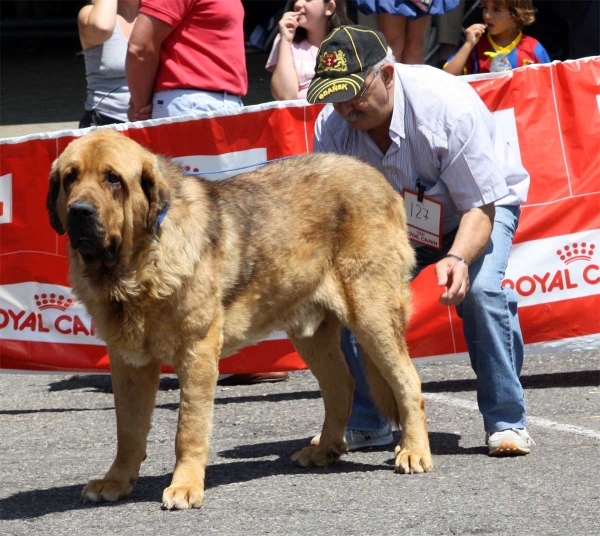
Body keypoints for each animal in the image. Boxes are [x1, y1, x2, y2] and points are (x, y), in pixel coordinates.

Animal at [45, 129, 432, 510]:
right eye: (70, 178)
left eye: (113, 179)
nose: (79, 211)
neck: (135, 268)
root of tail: (377, 177)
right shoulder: (129, 362)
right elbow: (127, 429)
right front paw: (116, 481)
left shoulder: (197, 353)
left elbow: (189, 427)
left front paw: (185, 486)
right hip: (311, 332)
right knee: (341, 385)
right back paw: (324, 449)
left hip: (371, 313)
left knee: (406, 381)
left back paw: (414, 451)